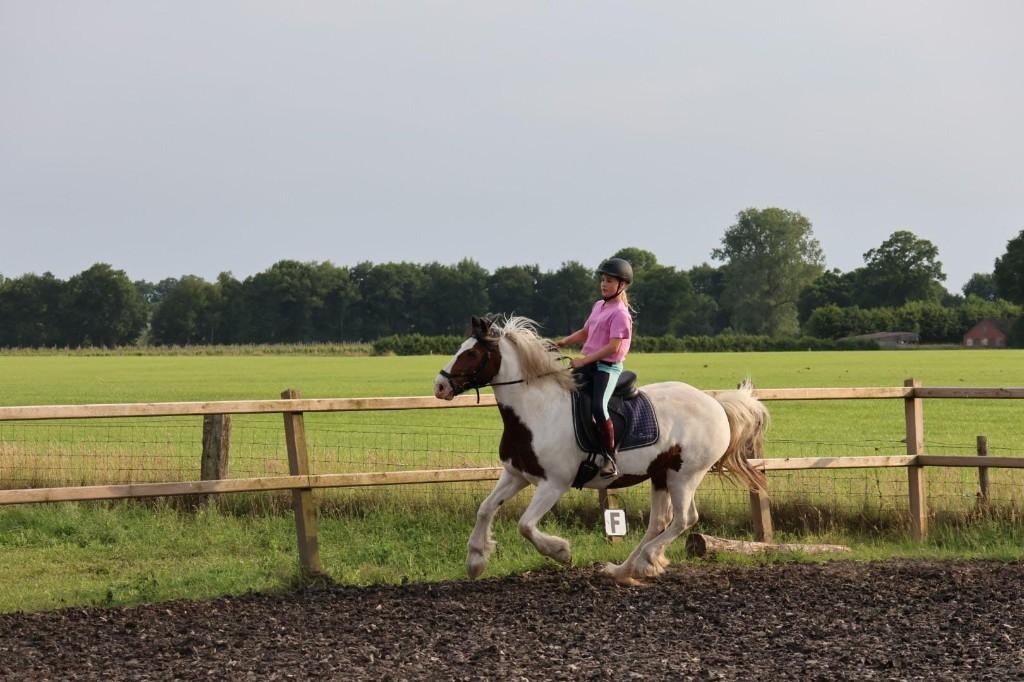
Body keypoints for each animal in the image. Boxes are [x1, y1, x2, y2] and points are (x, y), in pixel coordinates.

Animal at [433, 315, 769, 585]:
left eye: (471, 353)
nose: (439, 386)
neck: (536, 411)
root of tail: (715, 403)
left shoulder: (554, 484)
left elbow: (525, 525)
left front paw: (562, 551)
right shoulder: (516, 474)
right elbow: (485, 509)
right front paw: (476, 561)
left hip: (684, 476)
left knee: (684, 519)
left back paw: (645, 560)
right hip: (660, 474)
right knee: (660, 522)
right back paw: (623, 570)